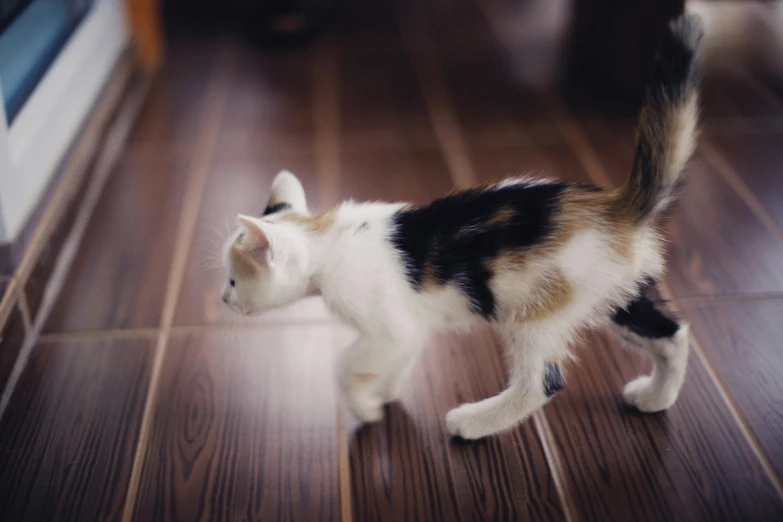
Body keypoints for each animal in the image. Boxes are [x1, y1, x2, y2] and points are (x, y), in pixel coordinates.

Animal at [222, 15, 704, 438]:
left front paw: (365, 407)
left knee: (542, 384)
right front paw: (386, 393)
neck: (329, 240)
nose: (223, 300)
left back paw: (473, 423)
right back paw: (657, 397)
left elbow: (346, 365)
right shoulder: (411, 325)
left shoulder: (387, 325)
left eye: (232, 280)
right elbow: (401, 354)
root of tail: (617, 204)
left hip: (535, 310)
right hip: (615, 294)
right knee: (674, 334)